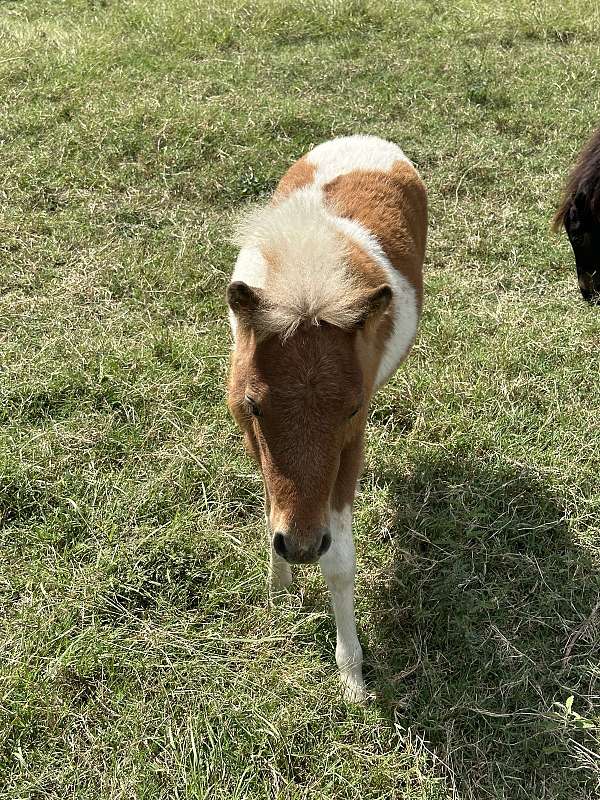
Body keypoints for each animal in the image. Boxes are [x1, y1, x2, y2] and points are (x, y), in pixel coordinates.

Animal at [226, 135, 427, 702]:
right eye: (254, 404)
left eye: (352, 408)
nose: (299, 546)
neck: (310, 277)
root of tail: (367, 140)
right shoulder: (252, 437)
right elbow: (270, 506)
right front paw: (279, 588)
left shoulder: (350, 445)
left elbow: (339, 564)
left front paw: (352, 674)